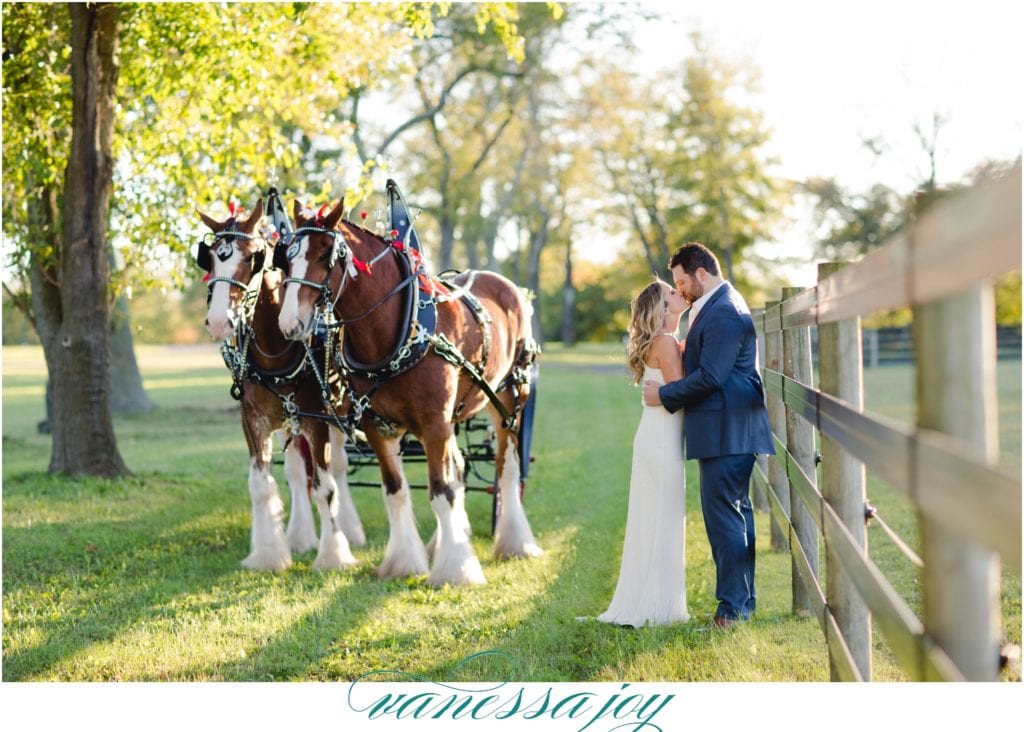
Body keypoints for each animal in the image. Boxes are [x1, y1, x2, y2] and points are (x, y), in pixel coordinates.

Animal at [276, 197, 540, 585]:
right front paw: (405, 561)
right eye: (286, 258)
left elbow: (441, 492)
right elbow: (397, 490)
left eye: (325, 255)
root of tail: (508, 287)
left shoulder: (433, 423)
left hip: (507, 400)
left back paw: (515, 541)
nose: (289, 324)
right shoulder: (378, 426)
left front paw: (456, 570)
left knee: (506, 469)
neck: (396, 331)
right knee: (459, 469)